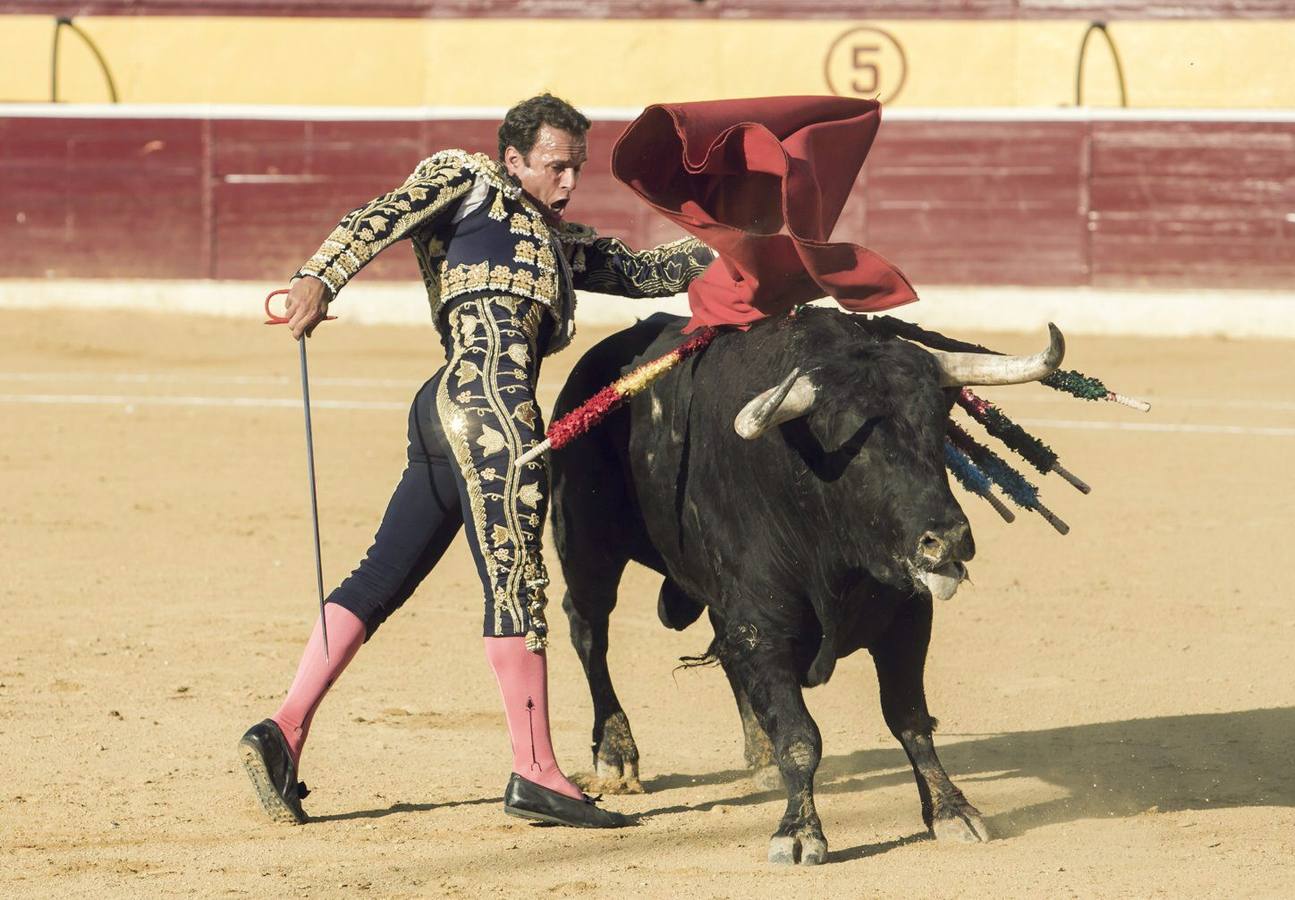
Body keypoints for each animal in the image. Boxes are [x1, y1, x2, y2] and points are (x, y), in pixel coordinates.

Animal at [546, 309, 1061, 865]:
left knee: (722, 652)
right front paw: (798, 832)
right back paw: (615, 753)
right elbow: (800, 736)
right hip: (588, 549)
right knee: (589, 631)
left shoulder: (906, 619)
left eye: (937, 427)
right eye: (854, 445)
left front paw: (952, 810)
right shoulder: (764, 628)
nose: (946, 540)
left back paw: (760, 758)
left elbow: (910, 718)